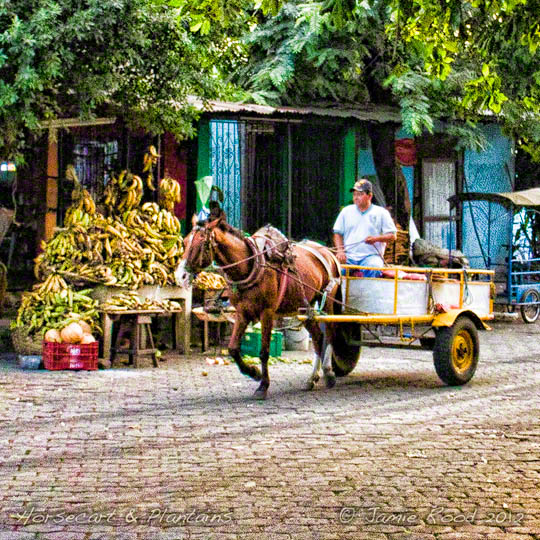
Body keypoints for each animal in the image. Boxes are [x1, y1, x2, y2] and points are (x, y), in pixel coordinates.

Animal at [175, 216, 342, 400]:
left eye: (201, 243)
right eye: (184, 242)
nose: (180, 276)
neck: (249, 266)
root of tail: (328, 251)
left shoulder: (267, 313)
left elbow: (264, 352)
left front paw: (263, 385)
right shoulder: (242, 312)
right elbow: (233, 348)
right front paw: (254, 373)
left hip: (328, 301)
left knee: (330, 333)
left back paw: (329, 373)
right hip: (304, 307)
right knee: (318, 337)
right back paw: (312, 378)